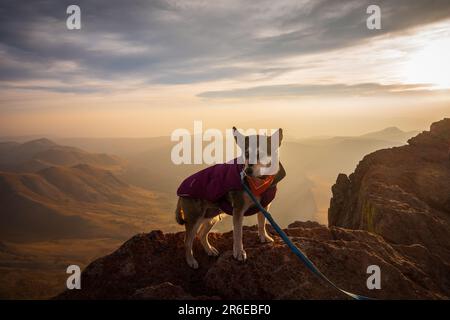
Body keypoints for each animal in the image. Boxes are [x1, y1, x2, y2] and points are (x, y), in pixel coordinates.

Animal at [175, 126, 284, 268]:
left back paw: (209, 250)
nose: (247, 171)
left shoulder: (264, 206)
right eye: (246, 154)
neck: (259, 181)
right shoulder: (238, 209)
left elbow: (262, 223)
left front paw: (264, 237)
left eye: (261, 154)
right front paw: (239, 252)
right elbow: (238, 234)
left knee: (202, 234)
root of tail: (180, 191)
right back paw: (191, 261)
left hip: (212, 215)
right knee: (187, 241)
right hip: (195, 218)